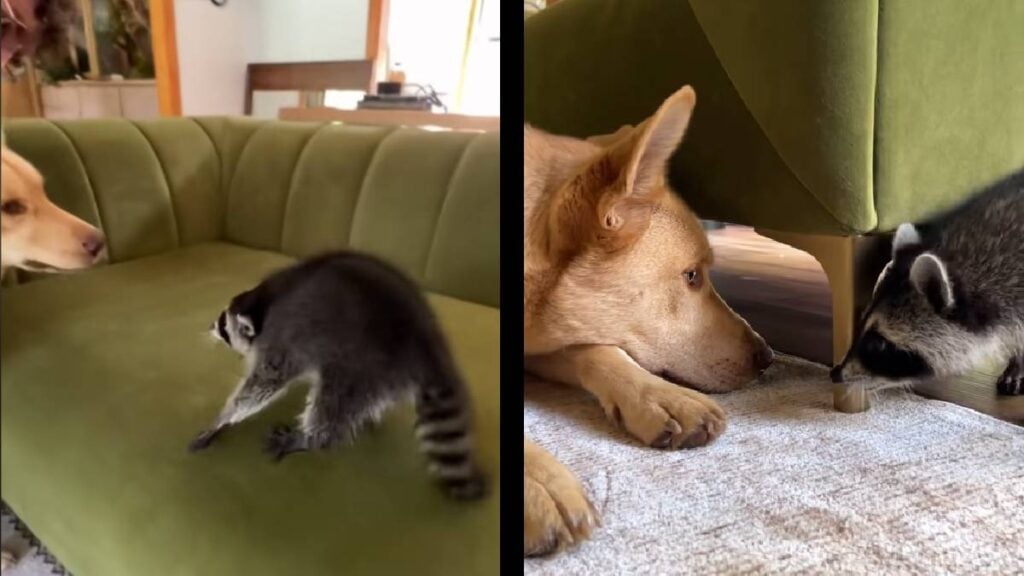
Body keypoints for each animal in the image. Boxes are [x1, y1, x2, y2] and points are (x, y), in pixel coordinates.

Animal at [189, 251, 487, 500]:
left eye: (223, 325)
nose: (210, 327)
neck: (263, 301)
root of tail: (426, 341)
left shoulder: (282, 338)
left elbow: (263, 384)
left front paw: (222, 420)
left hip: (364, 362)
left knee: (332, 402)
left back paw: (311, 439)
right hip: (381, 373)